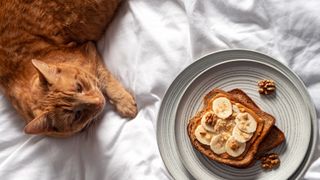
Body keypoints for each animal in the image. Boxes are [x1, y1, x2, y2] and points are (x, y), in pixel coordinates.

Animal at [0, 0, 136, 138]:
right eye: (77, 115)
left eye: (79, 87)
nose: (99, 101)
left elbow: (105, 79)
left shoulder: (89, 49)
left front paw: (125, 103)